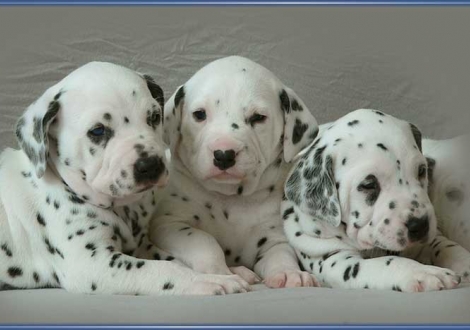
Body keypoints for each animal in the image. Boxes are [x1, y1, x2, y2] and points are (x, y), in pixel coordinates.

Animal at [0, 62, 250, 296]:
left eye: (154, 117)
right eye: (98, 131)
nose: (151, 165)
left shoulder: (140, 246)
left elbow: (174, 260)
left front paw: (227, 270)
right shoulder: (91, 263)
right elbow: (162, 269)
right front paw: (209, 281)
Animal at [150, 55, 320, 288]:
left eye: (258, 117)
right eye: (199, 114)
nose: (223, 154)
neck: (231, 198)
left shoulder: (274, 237)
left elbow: (281, 254)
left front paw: (289, 273)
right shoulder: (169, 224)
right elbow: (203, 241)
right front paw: (219, 272)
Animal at [280, 109, 460, 292]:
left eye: (422, 171)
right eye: (368, 185)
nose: (420, 225)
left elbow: (443, 245)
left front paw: (460, 259)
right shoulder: (336, 262)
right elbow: (386, 263)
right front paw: (423, 272)